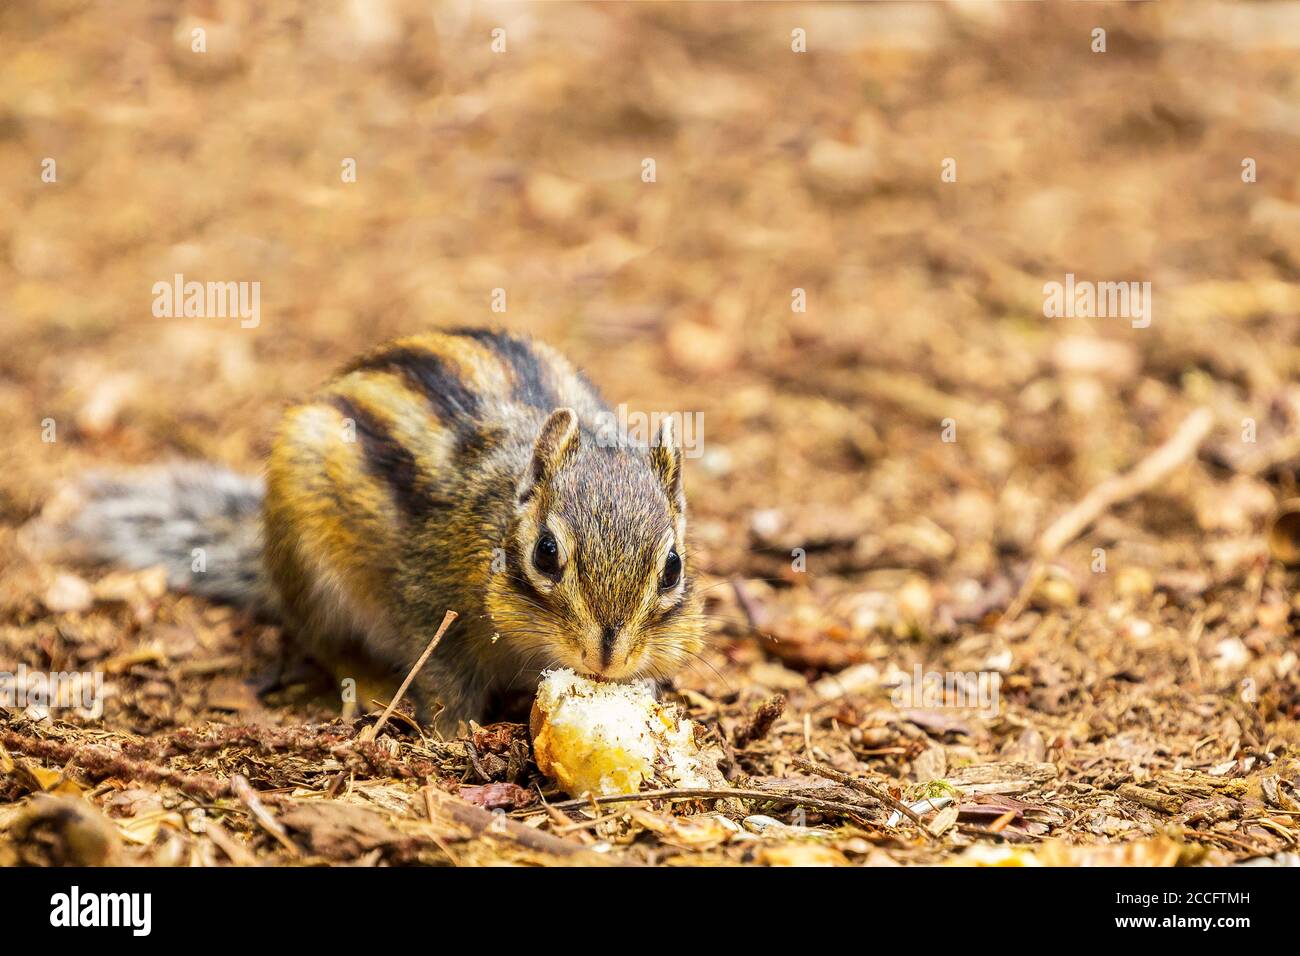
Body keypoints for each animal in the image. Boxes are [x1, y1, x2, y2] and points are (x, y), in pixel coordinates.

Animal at [36, 329, 705, 734]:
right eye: (545, 553)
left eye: (673, 566)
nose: (605, 657)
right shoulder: (431, 604)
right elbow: (444, 677)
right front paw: (457, 733)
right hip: (316, 575)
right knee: (325, 644)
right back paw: (379, 687)